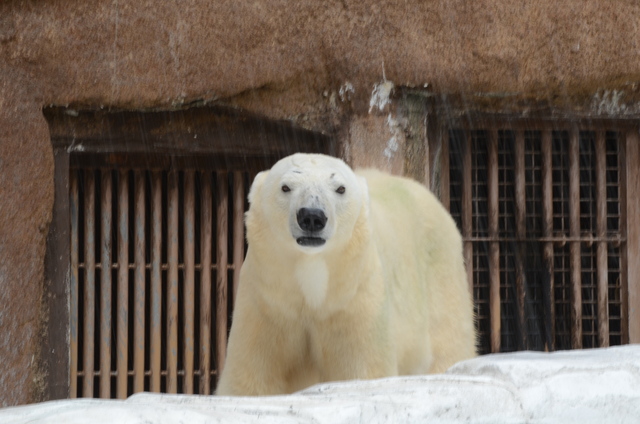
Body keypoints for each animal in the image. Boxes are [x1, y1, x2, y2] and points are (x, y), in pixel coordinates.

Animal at [215, 153, 476, 398]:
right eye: (285, 186)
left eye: (340, 188)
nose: (312, 216)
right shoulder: (269, 303)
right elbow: (252, 374)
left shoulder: (354, 300)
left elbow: (363, 367)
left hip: (439, 276)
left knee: (448, 340)